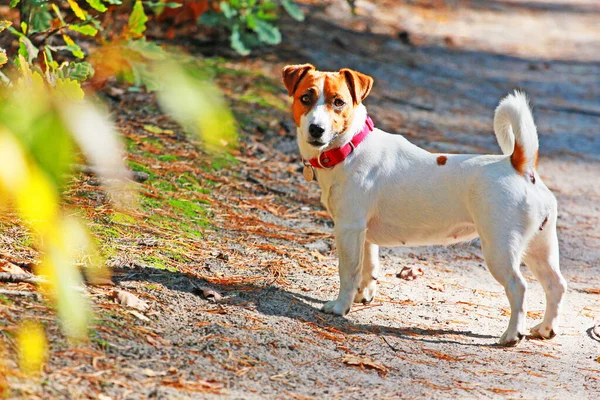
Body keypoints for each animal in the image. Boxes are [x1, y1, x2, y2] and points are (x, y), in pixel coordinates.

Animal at [282, 64, 568, 346]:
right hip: (538, 248)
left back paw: (512, 335)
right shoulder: (363, 233)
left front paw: (341, 306)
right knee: (556, 284)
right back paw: (546, 329)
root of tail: (520, 165)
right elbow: (368, 267)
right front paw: (364, 295)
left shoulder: (348, 228)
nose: (316, 129)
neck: (351, 146)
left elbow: (348, 271)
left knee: (518, 287)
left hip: (500, 249)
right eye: (305, 98)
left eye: (339, 102)